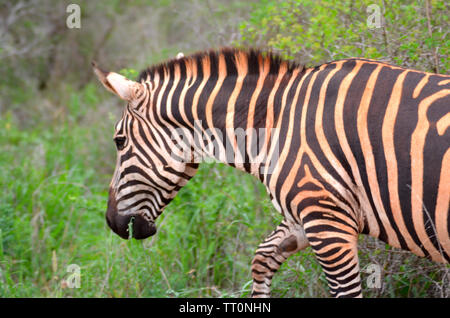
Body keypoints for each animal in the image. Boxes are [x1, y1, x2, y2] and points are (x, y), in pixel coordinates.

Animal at [92, 47, 450, 298]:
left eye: (119, 141)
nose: (111, 222)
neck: (276, 122)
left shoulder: (327, 222)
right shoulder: (305, 215)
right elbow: (261, 257)